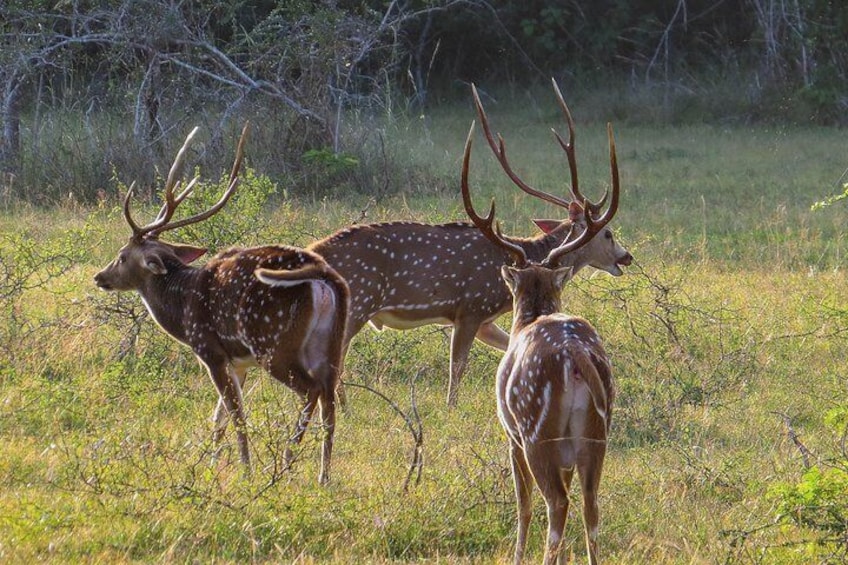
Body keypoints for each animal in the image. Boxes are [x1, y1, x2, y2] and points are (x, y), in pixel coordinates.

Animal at [96, 124, 352, 484]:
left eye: (121, 256)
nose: (99, 276)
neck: (182, 306)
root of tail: (324, 276)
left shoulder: (210, 350)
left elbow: (235, 414)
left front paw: (245, 470)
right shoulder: (239, 361)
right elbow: (218, 416)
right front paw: (211, 463)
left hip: (274, 343)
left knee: (310, 391)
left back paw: (286, 462)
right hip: (330, 344)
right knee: (330, 401)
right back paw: (323, 477)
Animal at [312, 79, 628, 406]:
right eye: (608, 233)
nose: (626, 256)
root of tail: (314, 251)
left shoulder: (485, 320)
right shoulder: (470, 308)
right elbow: (457, 370)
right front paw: (450, 408)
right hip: (358, 302)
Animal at [464, 117, 616, 560]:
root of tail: (575, 357)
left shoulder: (510, 433)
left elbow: (522, 505)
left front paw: (514, 555)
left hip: (536, 430)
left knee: (555, 505)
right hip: (596, 434)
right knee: (591, 505)